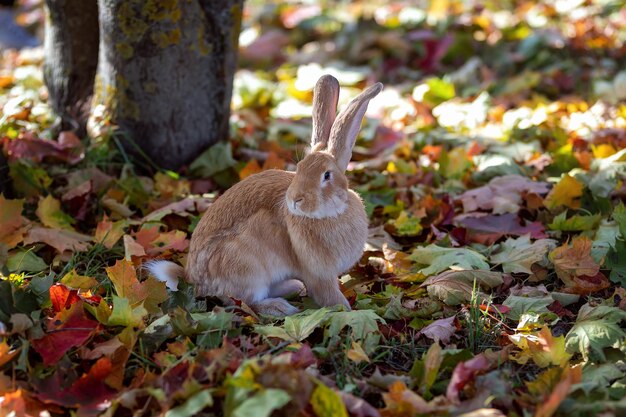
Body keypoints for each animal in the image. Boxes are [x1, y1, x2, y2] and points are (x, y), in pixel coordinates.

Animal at [146, 75, 380, 316]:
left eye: (326, 175)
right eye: (299, 168)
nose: (295, 200)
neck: (333, 213)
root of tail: (194, 280)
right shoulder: (318, 274)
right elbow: (329, 296)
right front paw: (347, 311)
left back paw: (293, 288)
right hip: (246, 267)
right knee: (243, 302)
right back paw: (281, 308)